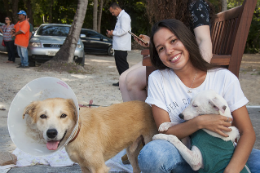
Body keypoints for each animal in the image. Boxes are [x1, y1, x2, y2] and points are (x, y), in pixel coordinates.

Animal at [23, 98, 156, 172]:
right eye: (43, 116)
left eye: (63, 115)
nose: (51, 133)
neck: (79, 131)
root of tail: (147, 105)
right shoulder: (84, 167)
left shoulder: (99, 168)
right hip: (132, 153)